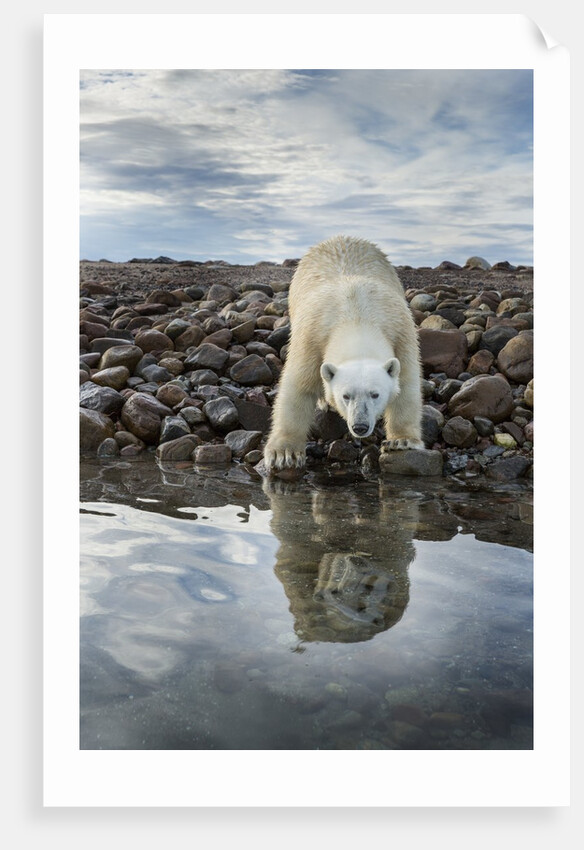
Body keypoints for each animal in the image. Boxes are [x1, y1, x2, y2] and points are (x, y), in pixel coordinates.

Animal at [264, 235, 423, 470]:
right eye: (346, 396)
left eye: (375, 394)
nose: (360, 426)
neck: (356, 316)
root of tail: (340, 238)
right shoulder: (312, 336)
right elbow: (298, 386)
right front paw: (284, 453)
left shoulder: (401, 333)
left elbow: (407, 384)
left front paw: (402, 440)